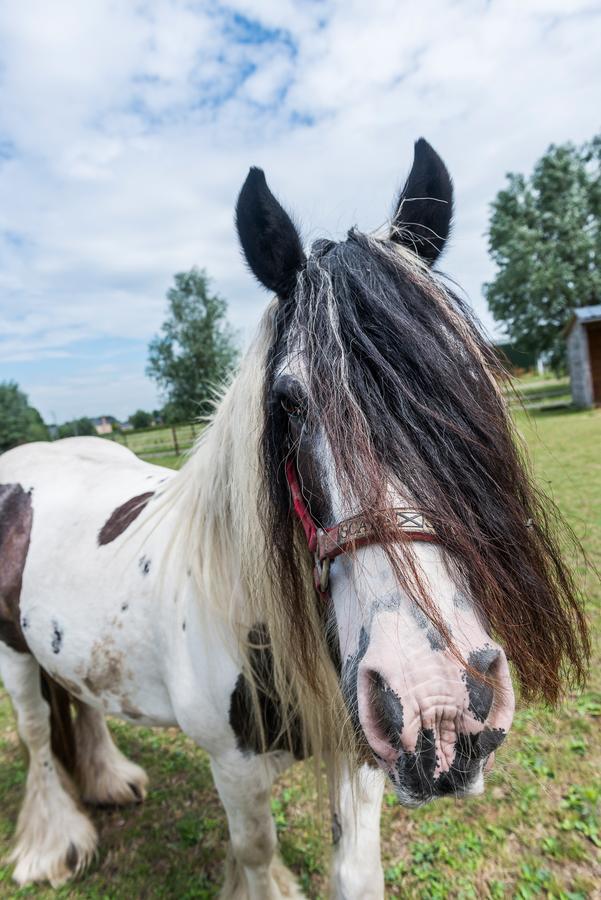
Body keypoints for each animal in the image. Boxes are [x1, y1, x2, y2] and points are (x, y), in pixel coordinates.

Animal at [0, 137, 584, 896]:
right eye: (288, 403)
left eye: (469, 375)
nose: (438, 703)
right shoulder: (234, 765)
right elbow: (255, 852)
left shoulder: (366, 752)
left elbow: (355, 869)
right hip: (12, 652)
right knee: (38, 733)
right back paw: (53, 845)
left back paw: (109, 780)